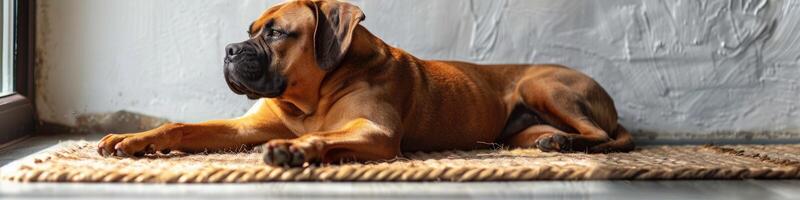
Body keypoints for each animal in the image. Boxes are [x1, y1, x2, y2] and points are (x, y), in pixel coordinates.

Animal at [98, 0, 632, 166]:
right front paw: (134, 138)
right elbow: (181, 127)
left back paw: (566, 142)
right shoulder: (245, 127)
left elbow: (326, 136)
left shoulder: (375, 133)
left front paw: (296, 149)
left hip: (547, 85)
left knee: (605, 136)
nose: (230, 50)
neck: (308, 97)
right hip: (523, 125)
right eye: (250, 31)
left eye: (275, 33)